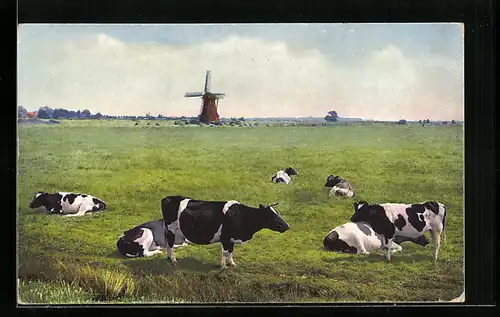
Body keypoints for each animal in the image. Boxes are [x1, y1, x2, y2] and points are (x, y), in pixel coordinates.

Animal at [162, 195, 292, 266]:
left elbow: (231, 250)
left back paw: (169, 258)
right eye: (273, 216)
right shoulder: (225, 237)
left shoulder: (232, 238)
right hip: (172, 228)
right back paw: (173, 260)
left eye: (278, 214)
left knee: (168, 242)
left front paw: (232, 263)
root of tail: (167, 198)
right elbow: (225, 251)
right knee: (171, 243)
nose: (287, 226)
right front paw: (223, 266)